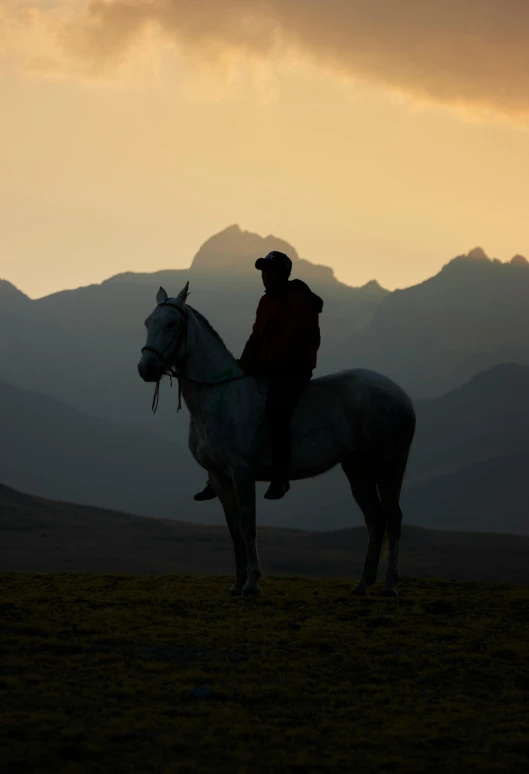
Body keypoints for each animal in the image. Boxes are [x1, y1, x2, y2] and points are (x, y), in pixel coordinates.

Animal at [138, 284, 414, 600]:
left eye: (172, 323)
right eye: (148, 322)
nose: (146, 368)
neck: (219, 397)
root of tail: (400, 395)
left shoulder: (242, 473)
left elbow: (248, 526)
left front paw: (252, 583)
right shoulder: (219, 476)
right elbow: (234, 528)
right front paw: (237, 583)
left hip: (388, 464)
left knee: (392, 518)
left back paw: (390, 585)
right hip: (357, 467)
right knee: (375, 519)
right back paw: (362, 584)